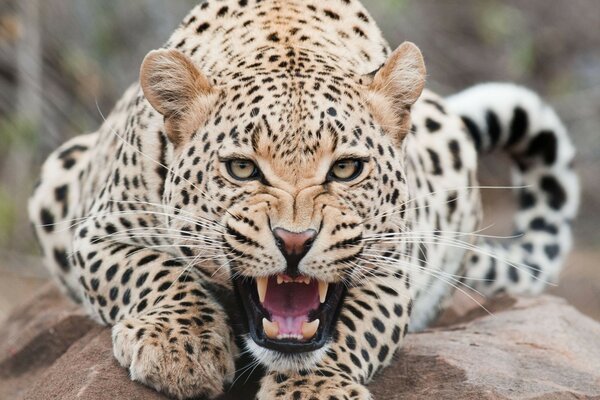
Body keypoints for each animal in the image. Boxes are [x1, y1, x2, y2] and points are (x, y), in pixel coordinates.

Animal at [27, 1, 576, 398]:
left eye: (346, 169)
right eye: (242, 168)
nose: (294, 241)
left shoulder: (393, 267)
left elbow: (352, 328)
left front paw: (312, 389)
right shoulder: (99, 231)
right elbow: (153, 271)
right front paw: (181, 348)